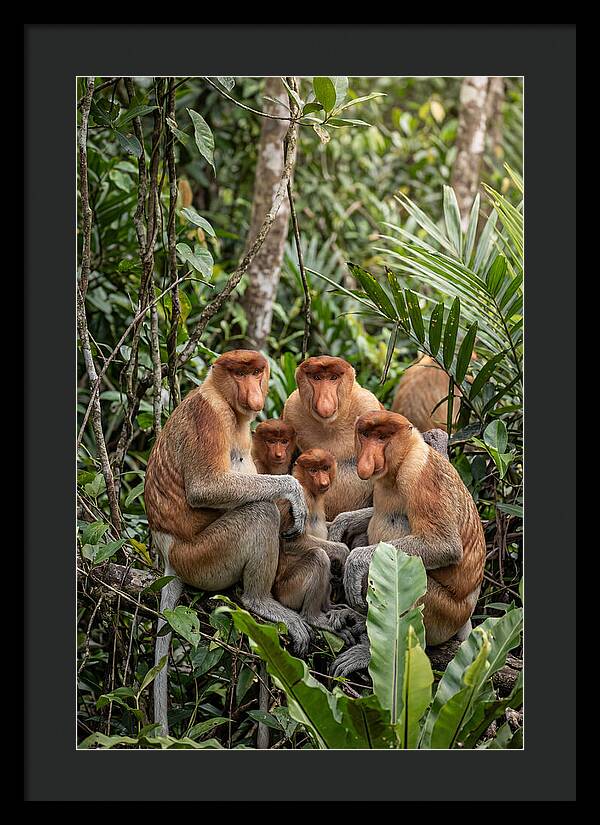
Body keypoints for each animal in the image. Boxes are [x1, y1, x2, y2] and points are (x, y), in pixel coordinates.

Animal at [144, 350, 311, 734]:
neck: (223, 397)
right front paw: (294, 492)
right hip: (203, 557)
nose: (253, 392)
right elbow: (206, 487)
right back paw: (259, 601)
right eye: (239, 373)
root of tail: (168, 555)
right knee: (259, 512)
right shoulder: (209, 416)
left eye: (256, 372)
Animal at [273, 449, 360, 643]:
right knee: (318, 556)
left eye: (325, 468)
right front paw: (343, 551)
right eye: (313, 470)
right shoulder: (299, 500)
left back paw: (330, 607)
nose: (323, 481)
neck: (309, 489)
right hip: (289, 591)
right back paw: (314, 617)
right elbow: (291, 542)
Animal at [282, 356, 382, 522]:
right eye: (316, 377)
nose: (325, 403)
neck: (330, 425)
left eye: (333, 378)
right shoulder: (291, 409)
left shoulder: (367, 404)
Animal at [331, 411, 485, 678]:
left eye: (382, 437)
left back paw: (371, 652)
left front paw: (355, 562)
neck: (402, 460)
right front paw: (341, 523)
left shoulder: (420, 476)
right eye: (366, 435)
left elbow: (444, 545)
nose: (367, 459)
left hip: (444, 614)